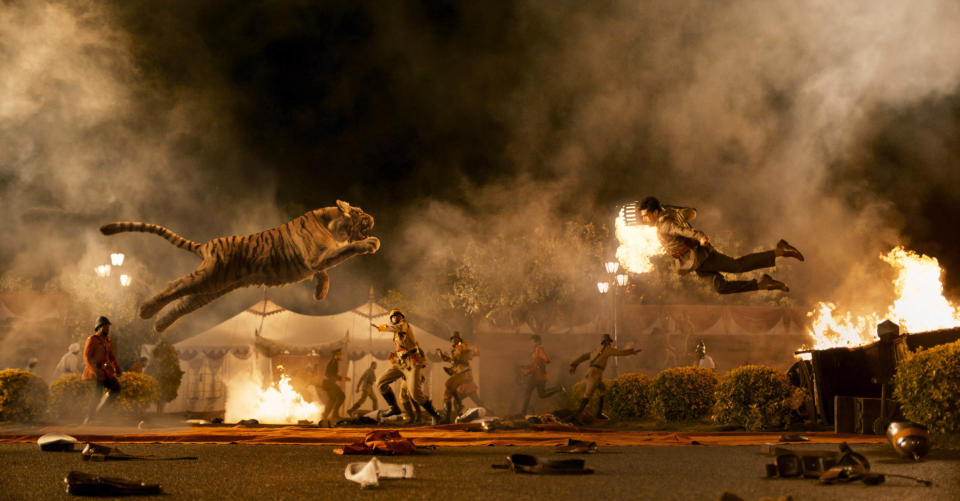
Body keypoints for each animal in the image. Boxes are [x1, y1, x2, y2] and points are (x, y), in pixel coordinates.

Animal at [100, 199, 378, 332]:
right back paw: (145, 311)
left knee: (182, 304)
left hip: (212, 288)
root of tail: (207, 245)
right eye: (360, 212)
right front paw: (371, 243)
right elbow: (345, 251)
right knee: (175, 285)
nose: (373, 217)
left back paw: (158, 325)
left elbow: (326, 273)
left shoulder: (317, 262)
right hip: (207, 277)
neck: (332, 223)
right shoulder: (317, 257)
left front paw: (320, 293)